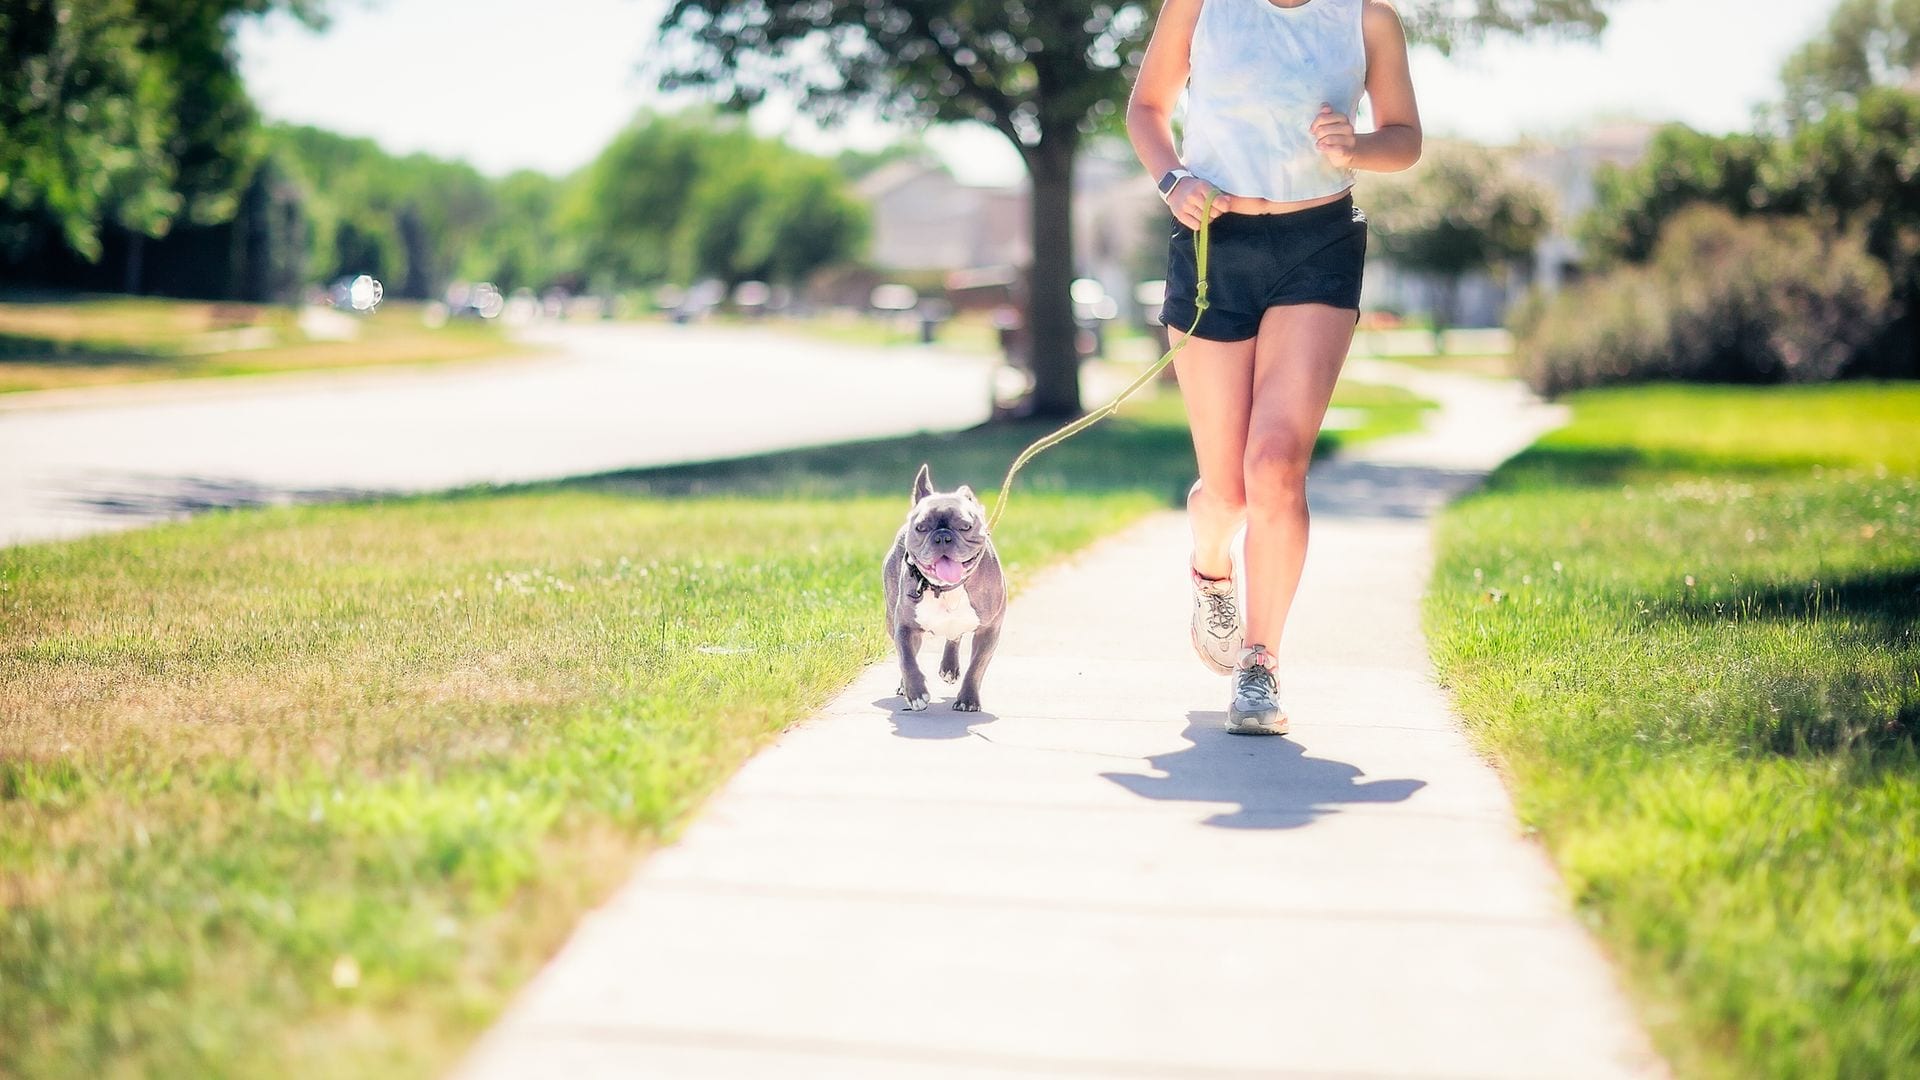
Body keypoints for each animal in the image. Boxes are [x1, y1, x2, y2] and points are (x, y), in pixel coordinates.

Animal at [879, 461, 1006, 707]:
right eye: (921, 528)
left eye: (965, 527)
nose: (942, 536)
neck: (946, 589)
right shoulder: (905, 626)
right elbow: (907, 659)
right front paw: (916, 693)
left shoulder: (989, 629)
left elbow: (977, 666)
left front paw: (968, 700)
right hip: (891, 618)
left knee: (954, 636)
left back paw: (949, 667)